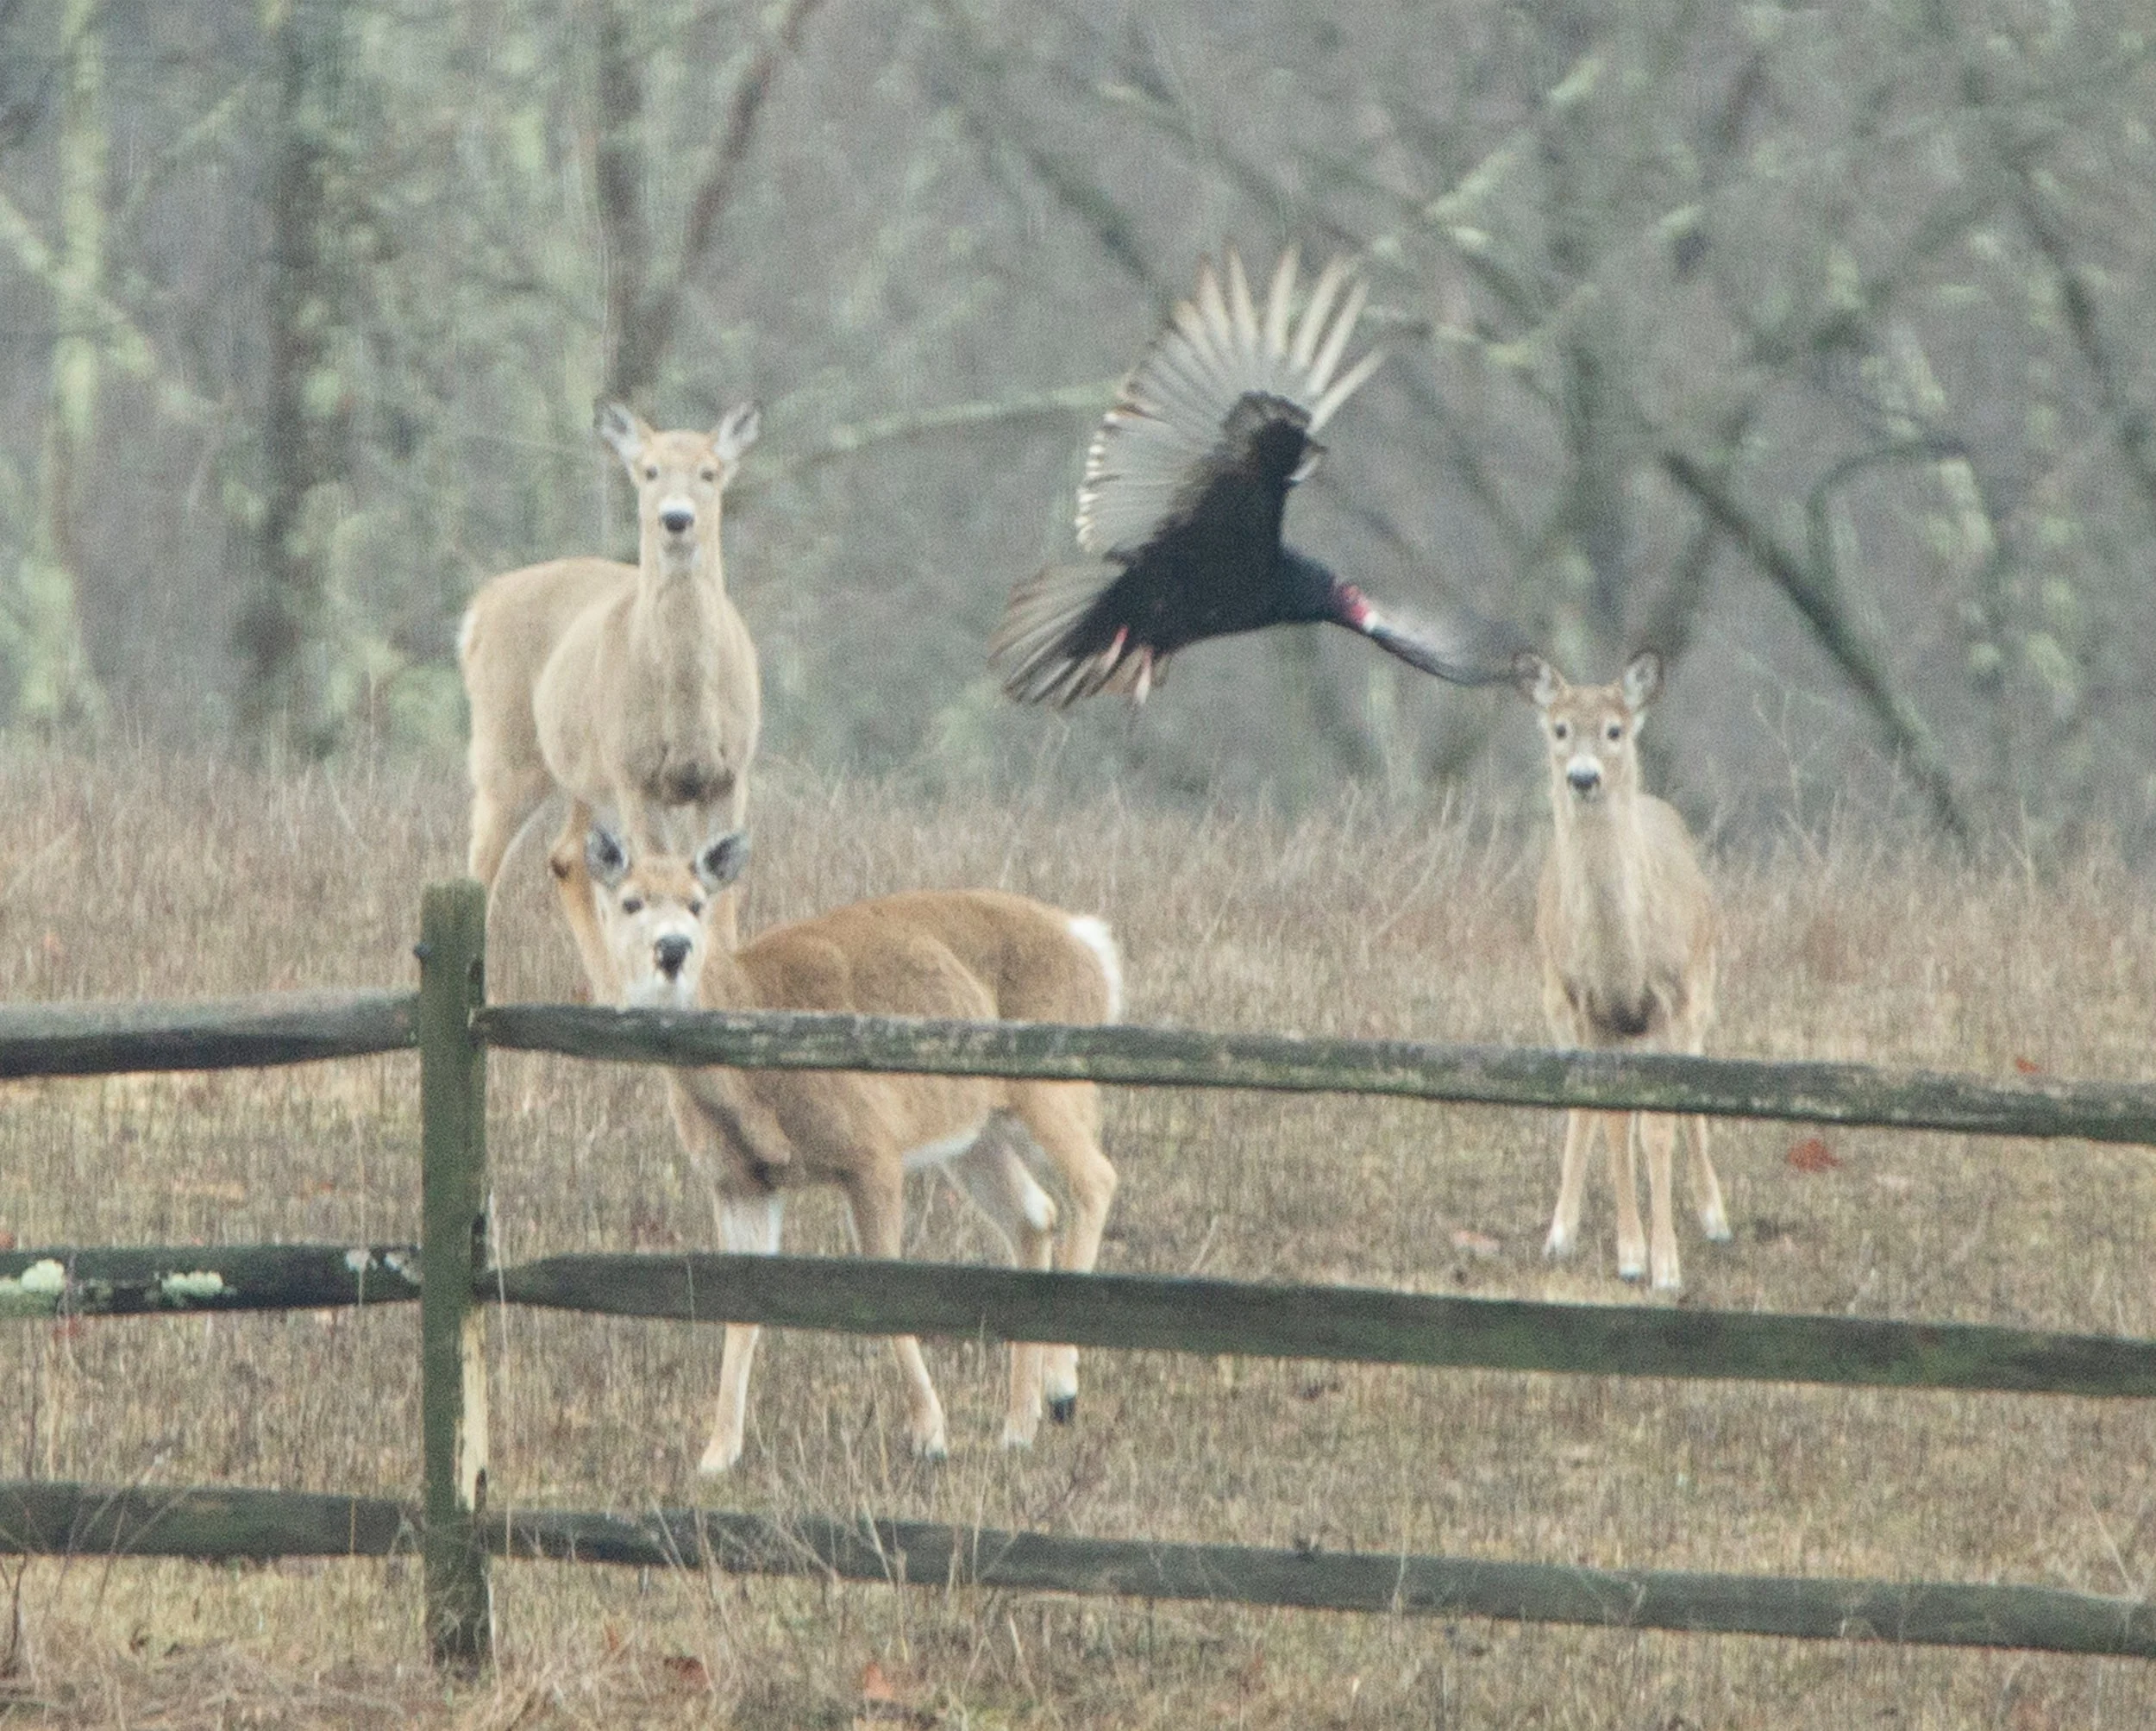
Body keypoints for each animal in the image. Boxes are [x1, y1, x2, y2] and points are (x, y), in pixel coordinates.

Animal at [458, 399, 763, 989]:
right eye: (648, 471)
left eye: (709, 473)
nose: (676, 518)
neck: (686, 709)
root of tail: (479, 607)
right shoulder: (638, 776)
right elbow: (658, 877)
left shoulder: (729, 773)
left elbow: (720, 898)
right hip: (508, 751)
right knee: (478, 870)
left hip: (587, 779)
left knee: (568, 856)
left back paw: (608, 984)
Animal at [576, 821, 1123, 1476]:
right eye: (631, 901)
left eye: (697, 902)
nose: (674, 949)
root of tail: (1091, 943)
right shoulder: (738, 1181)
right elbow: (740, 1310)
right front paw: (717, 1453)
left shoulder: (872, 1152)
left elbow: (882, 1288)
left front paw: (930, 1433)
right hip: (976, 1133)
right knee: (1034, 1215)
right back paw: (1019, 1425)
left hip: (1052, 1085)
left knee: (1095, 1179)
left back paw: (1062, 1385)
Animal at [1515, 649, 1728, 1294]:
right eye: (1560, 729)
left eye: (1614, 730)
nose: (1583, 777)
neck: (1622, 963)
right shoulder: (1591, 1008)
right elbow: (1610, 1121)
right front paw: (1631, 1254)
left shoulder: (1672, 999)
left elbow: (1660, 1127)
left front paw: (1667, 1264)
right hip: (1555, 1002)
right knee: (1582, 1110)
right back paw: (1561, 1232)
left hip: (1702, 990)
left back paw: (1715, 1216)